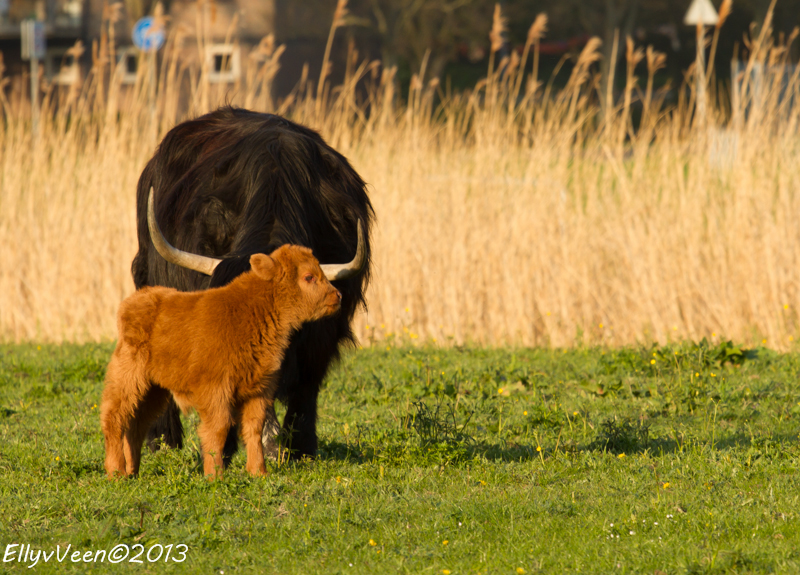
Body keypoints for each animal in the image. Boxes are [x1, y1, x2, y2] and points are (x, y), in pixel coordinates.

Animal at [102, 202, 359, 479]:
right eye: (308, 277)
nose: (337, 296)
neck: (254, 309)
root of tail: (135, 301)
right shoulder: (217, 392)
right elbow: (218, 429)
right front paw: (215, 475)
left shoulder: (258, 390)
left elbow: (254, 428)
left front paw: (258, 472)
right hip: (129, 380)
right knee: (114, 418)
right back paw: (116, 472)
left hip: (154, 390)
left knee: (136, 424)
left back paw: (132, 471)